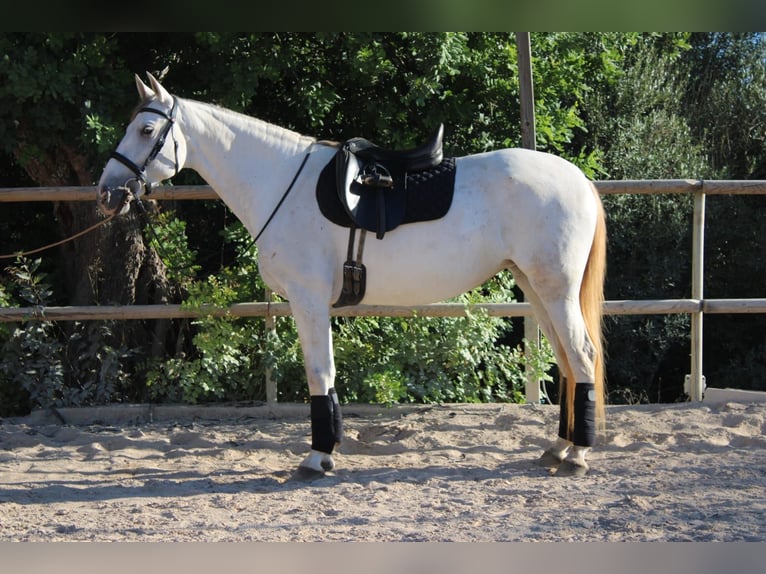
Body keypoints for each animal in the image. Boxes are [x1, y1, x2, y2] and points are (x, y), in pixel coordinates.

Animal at [97, 73, 607, 478]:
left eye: (146, 129)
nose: (107, 192)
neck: (281, 183)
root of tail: (579, 180)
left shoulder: (308, 300)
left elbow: (319, 373)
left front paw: (318, 457)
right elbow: (325, 374)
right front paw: (329, 450)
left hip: (555, 291)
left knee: (581, 355)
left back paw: (578, 454)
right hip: (536, 288)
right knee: (567, 361)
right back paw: (559, 447)